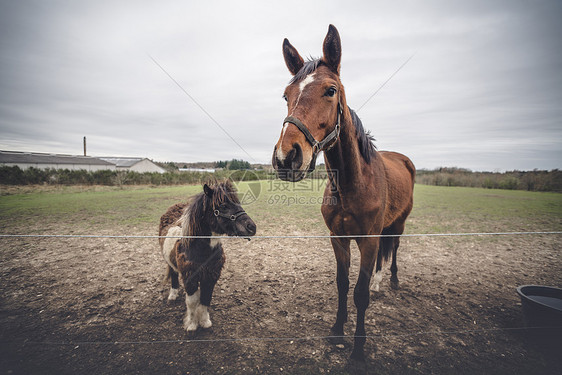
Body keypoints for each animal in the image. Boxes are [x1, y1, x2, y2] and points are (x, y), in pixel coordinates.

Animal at [156, 181, 255, 334]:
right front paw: (191, 325)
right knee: (173, 273)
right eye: (223, 206)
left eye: (238, 203)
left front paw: (204, 322)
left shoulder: (211, 276)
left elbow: (205, 298)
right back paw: (172, 294)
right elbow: (192, 302)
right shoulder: (190, 277)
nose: (252, 227)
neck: (202, 251)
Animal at [272, 25, 416, 362]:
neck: (353, 184)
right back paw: (379, 282)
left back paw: (391, 280)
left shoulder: (368, 240)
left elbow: (359, 293)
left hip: (399, 224)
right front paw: (338, 330)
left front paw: (359, 349)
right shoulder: (339, 238)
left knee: (394, 249)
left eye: (330, 90)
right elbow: (342, 284)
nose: (286, 157)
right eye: (286, 95)